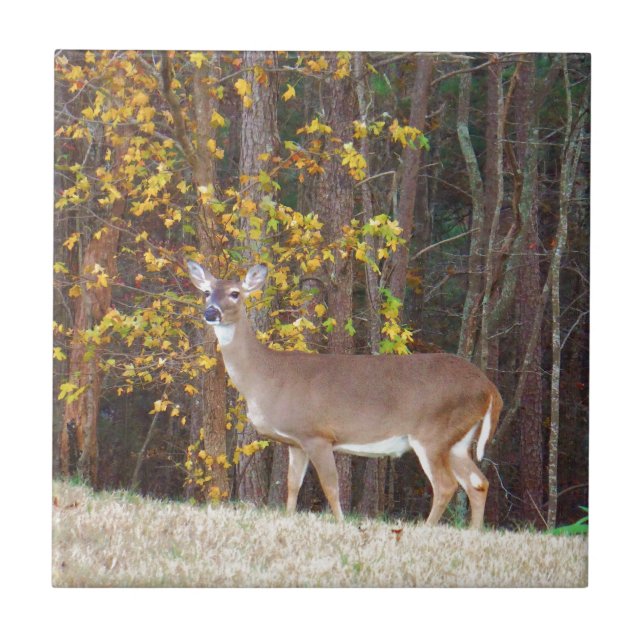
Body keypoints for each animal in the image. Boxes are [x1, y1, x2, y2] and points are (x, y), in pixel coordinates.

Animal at [187, 261, 503, 530]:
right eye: (206, 292)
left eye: (235, 293)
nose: (211, 312)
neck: (265, 376)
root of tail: (489, 388)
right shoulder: (296, 441)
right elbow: (292, 486)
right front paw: (290, 518)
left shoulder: (317, 434)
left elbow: (331, 485)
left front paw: (340, 523)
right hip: (457, 439)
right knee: (478, 482)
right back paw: (474, 532)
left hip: (433, 433)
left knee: (446, 485)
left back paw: (427, 529)